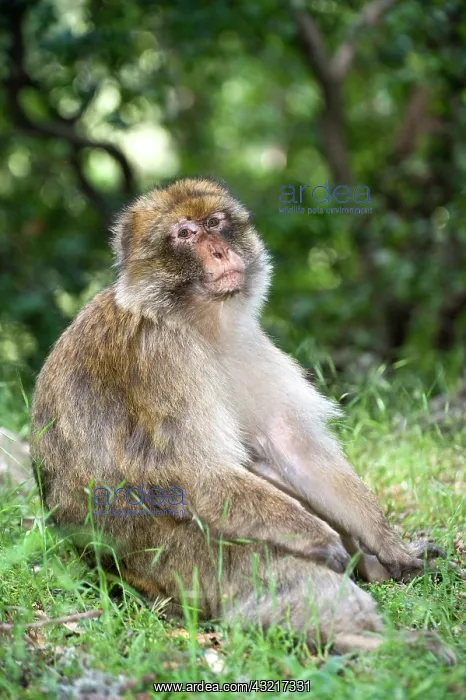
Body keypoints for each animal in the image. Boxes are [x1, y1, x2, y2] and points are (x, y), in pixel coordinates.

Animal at [30, 178, 453, 663]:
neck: (193, 321)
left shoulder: (245, 344)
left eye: (215, 223)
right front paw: (322, 539)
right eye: (186, 234)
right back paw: (371, 640)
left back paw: (371, 573)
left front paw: (389, 545)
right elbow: (196, 473)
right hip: (170, 568)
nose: (218, 251)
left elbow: (292, 447)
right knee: (263, 561)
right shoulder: (161, 358)